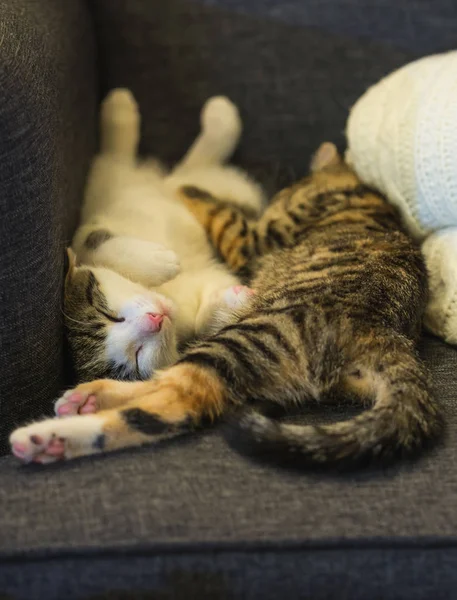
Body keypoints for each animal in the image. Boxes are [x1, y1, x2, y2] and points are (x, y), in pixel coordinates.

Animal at [10, 143, 440, 466]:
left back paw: (49, 436)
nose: (275, 198)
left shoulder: (254, 240)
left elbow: (213, 208)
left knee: (176, 401)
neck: (361, 198)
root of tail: (384, 338)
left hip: (250, 339)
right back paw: (83, 401)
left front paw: (184, 186)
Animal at [64, 89, 264, 382]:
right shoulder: (82, 235)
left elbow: (97, 245)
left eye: (109, 315)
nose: (154, 320)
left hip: (137, 186)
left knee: (140, 163)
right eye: (136, 360)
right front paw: (229, 300)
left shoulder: (85, 234)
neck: (170, 294)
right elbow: (202, 319)